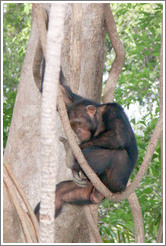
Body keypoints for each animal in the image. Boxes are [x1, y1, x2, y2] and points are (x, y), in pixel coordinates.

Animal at [34, 70, 138, 218]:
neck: (99, 118)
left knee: (118, 153)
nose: (77, 131)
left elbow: (117, 136)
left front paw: (75, 149)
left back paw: (71, 159)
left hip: (115, 183)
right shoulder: (73, 102)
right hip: (86, 190)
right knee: (59, 193)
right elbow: (63, 93)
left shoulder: (114, 110)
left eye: (79, 123)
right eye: (73, 125)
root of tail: (100, 194)